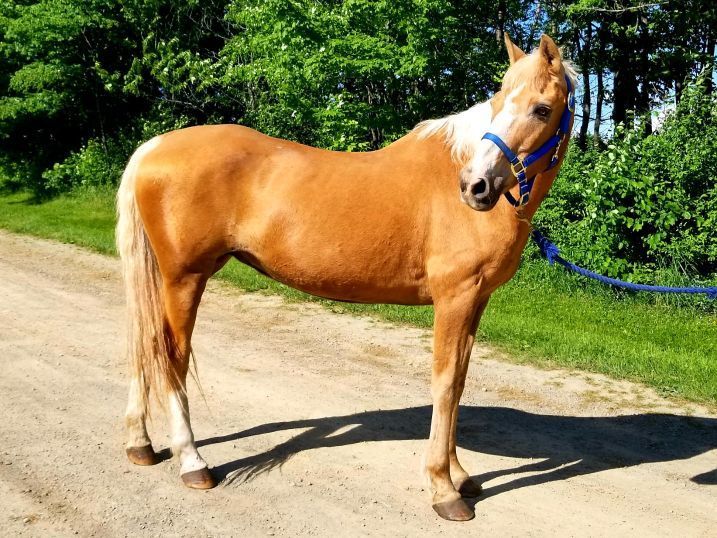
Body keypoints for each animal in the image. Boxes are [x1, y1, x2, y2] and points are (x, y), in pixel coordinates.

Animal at [116, 33, 576, 522]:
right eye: (499, 101)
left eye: (541, 109)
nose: (475, 186)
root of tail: (154, 147)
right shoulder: (455, 298)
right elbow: (446, 383)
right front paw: (443, 487)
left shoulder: (475, 301)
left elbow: (459, 384)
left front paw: (460, 475)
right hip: (185, 278)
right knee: (172, 357)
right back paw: (192, 462)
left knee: (146, 343)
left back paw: (140, 444)